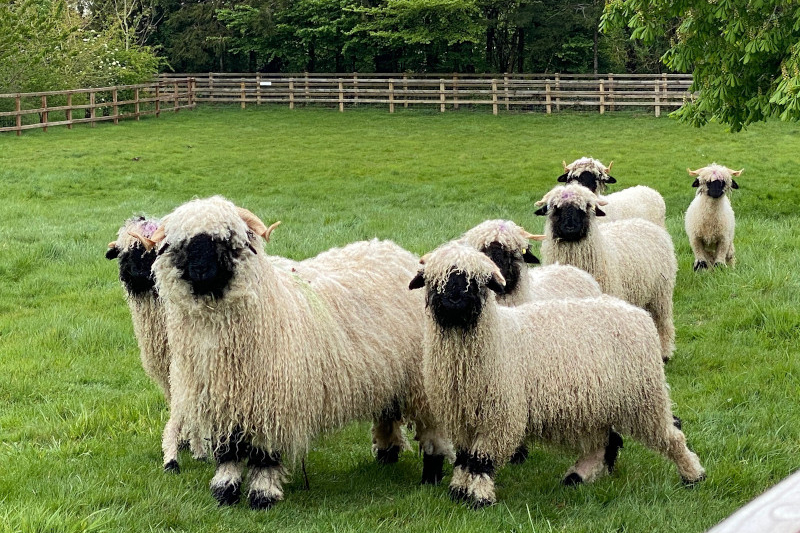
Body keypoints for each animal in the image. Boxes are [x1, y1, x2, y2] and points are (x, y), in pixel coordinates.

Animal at [150, 195, 450, 508]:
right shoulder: (221, 400)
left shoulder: (272, 402)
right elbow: (228, 452)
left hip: (422, 380)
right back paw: (386, 456)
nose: (200, 270)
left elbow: (264, 455)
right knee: (387, 413)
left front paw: (262, 495)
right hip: (387, 372)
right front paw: (225, 490)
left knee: (433, 429)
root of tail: (397, 252)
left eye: (227, 240)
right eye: (180, 244)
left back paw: (431, 474)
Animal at [410, 241, 704, 508]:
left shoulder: (502, 416)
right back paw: (579, 476)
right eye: (434, 281)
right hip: (600, 404)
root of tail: (637, 313)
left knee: (672, 433)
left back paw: (693, 475)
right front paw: (459, 491)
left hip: (644, 397)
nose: (454, 299)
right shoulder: (461, 417)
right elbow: (464, 458)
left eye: (477, 282)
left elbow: (481, 460)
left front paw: (478, 498)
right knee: (606, 440)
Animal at [536, 183, 680, 362]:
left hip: (661, 293)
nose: (570, 227)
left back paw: (665, 352)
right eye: (555, 208)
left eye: (586, 207)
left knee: (662, 321)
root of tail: (645, 223)